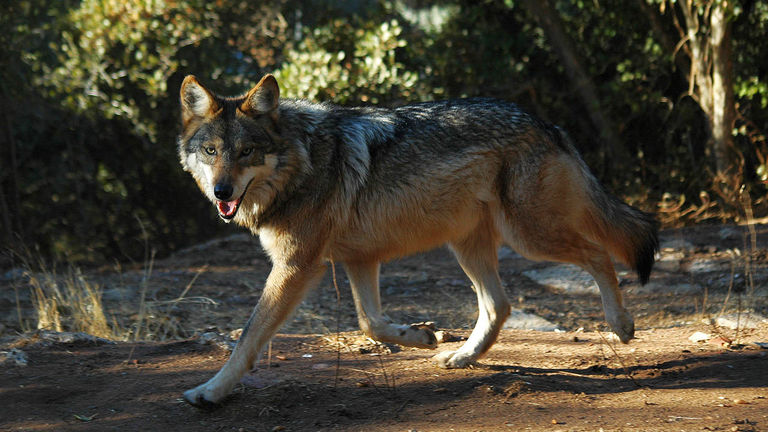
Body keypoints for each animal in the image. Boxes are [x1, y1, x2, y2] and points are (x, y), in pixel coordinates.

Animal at [177, 74, 658, 407]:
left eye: (246, 153)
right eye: (211, 152)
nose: (221, 192)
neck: (303, 159)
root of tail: (548, 124)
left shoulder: (298, 266)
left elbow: (248, 338)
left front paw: (209, 392)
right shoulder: (358, 259)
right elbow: (370, 323)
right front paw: (422, 336)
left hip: (529, 237)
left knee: (598, 255)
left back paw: (621, 324)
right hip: (469, 246)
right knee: (499, 305)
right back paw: (462, 357)